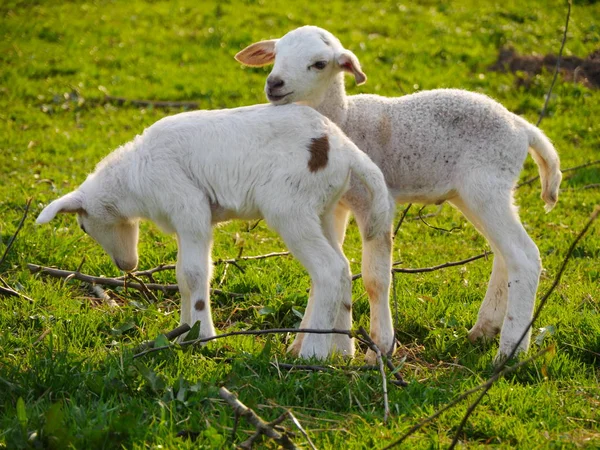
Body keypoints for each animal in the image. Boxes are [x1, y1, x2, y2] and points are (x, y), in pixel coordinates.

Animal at [35, 103, 396, 362]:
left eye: (83, 226)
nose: (126, 266)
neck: (133, 178)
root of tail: (344, 149)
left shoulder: (189, 206)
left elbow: (195, 274)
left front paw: (201, 336)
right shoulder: (187, 220)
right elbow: (182, 276)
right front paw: (183, 333)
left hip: (289, 206)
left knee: (329, 270)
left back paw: (312, 354)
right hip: (322, 208)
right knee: (342, 267)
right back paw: (337, 349)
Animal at [236, 25, 564, 362]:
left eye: (319, 64)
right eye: (276, 54)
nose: (274, 84)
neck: (344, 119)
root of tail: (522, 127)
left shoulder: (375, 202)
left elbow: (375, 278)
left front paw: (380, 347)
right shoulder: (333, 205)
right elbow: (323, 271)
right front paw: (302, 345)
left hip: (487, 186)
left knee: (524, 256)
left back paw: (511, 350)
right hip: (477, 194)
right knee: (503, 254)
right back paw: (484, 330)